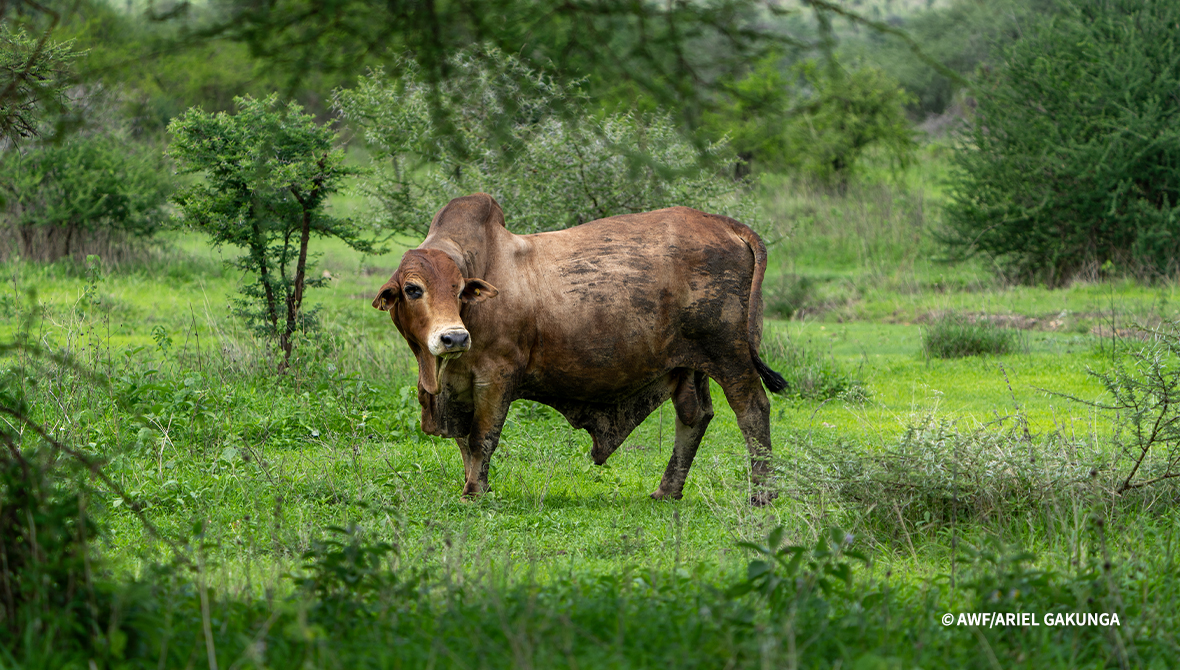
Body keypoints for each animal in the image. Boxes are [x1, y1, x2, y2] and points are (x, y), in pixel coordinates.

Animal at [372, 193, 787, 505]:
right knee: (694, 416)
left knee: (752, 409)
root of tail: (724, 223)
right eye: (413, 289)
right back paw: (667, 491)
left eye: (460, 289)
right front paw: (476, 485)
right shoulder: (457, 386)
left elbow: (481, 437)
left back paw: (762, 495)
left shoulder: (497, 376)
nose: (454, 338)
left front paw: (474, 492)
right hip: (688, 364)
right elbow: (463, 441)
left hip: (730, 354)